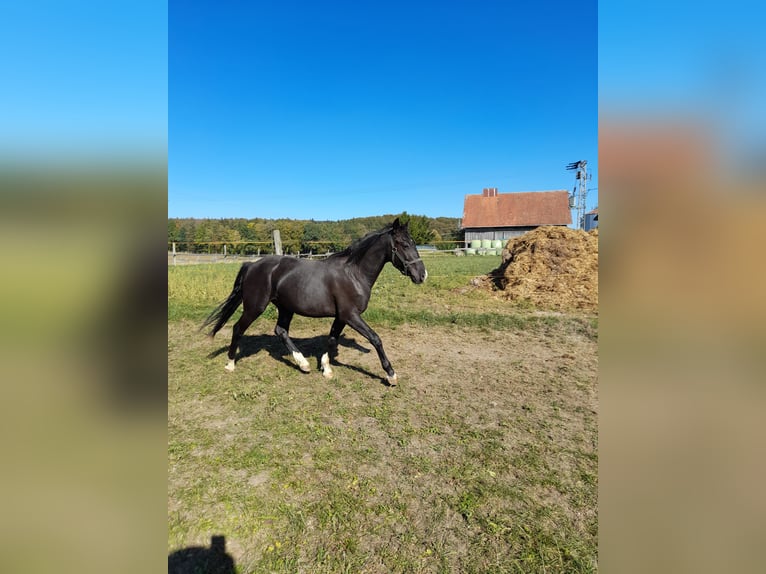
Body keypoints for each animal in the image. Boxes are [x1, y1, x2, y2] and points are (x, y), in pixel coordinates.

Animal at [201, 218, 427, 386]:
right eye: (404, 244)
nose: (422, 275)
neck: (354, 274)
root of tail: (251, 265)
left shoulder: (341, 316)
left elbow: (332, 339)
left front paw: (325, 368)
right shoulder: (351, 315)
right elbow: (376, 338)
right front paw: (391, 374)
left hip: (286, 308)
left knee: (280, 331)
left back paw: (303, 364)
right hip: (255, 307)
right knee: (238, 328)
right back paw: (230, 364)